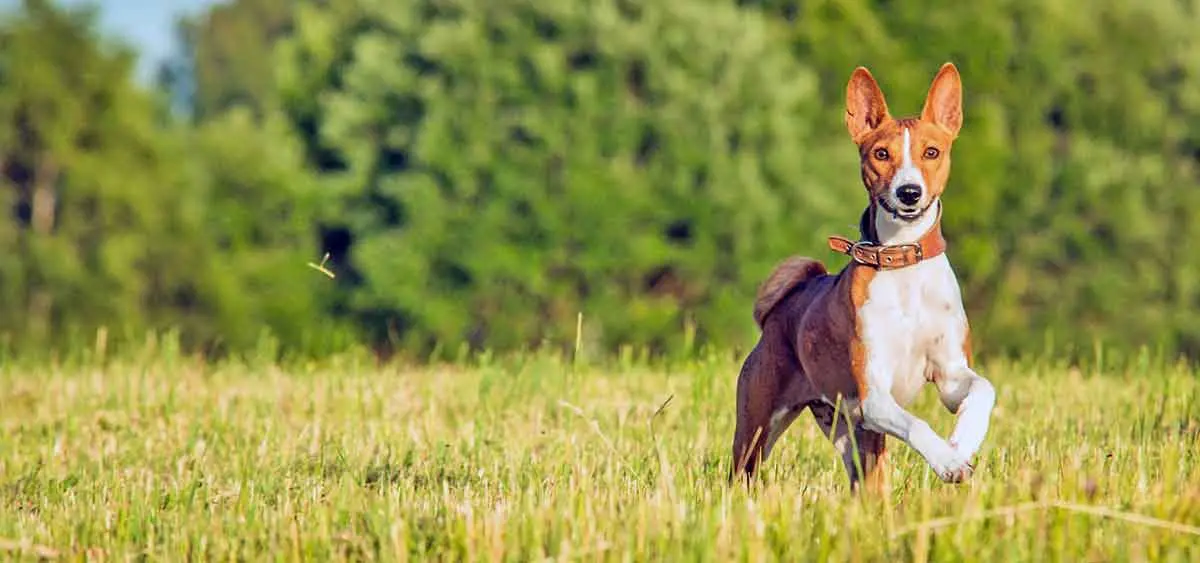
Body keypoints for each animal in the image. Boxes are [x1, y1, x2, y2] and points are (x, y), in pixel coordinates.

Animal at [729, 62, 993, 492]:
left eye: (932, 152)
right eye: (881, 154)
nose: (909, 192)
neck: (903, 265)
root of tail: (783, 308)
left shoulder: (951, 375)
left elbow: (984, 390)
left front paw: (962, 443)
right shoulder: (874, 395)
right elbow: (918, 424)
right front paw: (947, 460)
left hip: (850, 435)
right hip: (758, 429)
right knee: (741, 474)